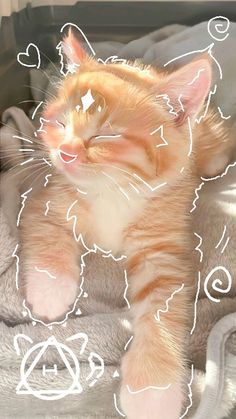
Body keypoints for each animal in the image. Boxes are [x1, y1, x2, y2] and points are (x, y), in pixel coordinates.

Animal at [20, 31, 230, 418]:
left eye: (104, 135)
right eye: (60, 123)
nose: (66, 153)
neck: (112, 191)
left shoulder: (163, 247)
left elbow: (162, 307)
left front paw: (153, 386)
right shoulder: (43, 197)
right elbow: (47, 231)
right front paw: (50, 292)